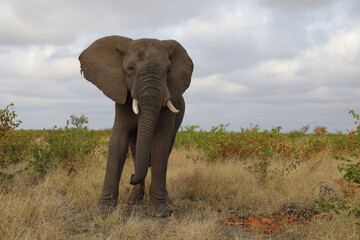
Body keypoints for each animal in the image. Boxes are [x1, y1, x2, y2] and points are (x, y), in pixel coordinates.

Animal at [77, 36, 193, 218]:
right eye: (130, 68)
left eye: (168, 70)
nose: (131, 177)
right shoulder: (121, 96)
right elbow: (117, 143)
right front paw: (104, 211)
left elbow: (160, 145)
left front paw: (159, 213)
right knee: (134, 149)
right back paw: (133, 200)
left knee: (166, 149)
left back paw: (166, 201)